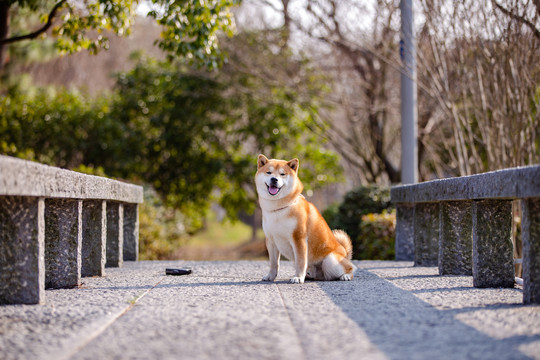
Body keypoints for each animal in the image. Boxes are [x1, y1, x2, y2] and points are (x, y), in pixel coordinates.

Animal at [255, 155, 356, 284]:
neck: (279, 209)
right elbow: (274, 263)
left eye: (282, 174)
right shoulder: (271, 240)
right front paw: (270, 276)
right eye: (269, 172)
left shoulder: (298, 238)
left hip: (330, 261)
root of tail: (345, 254)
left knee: (350, 268)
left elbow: (301, 261)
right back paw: (308, 276)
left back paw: (346, 276)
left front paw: (298, 277)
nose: (274, 179)